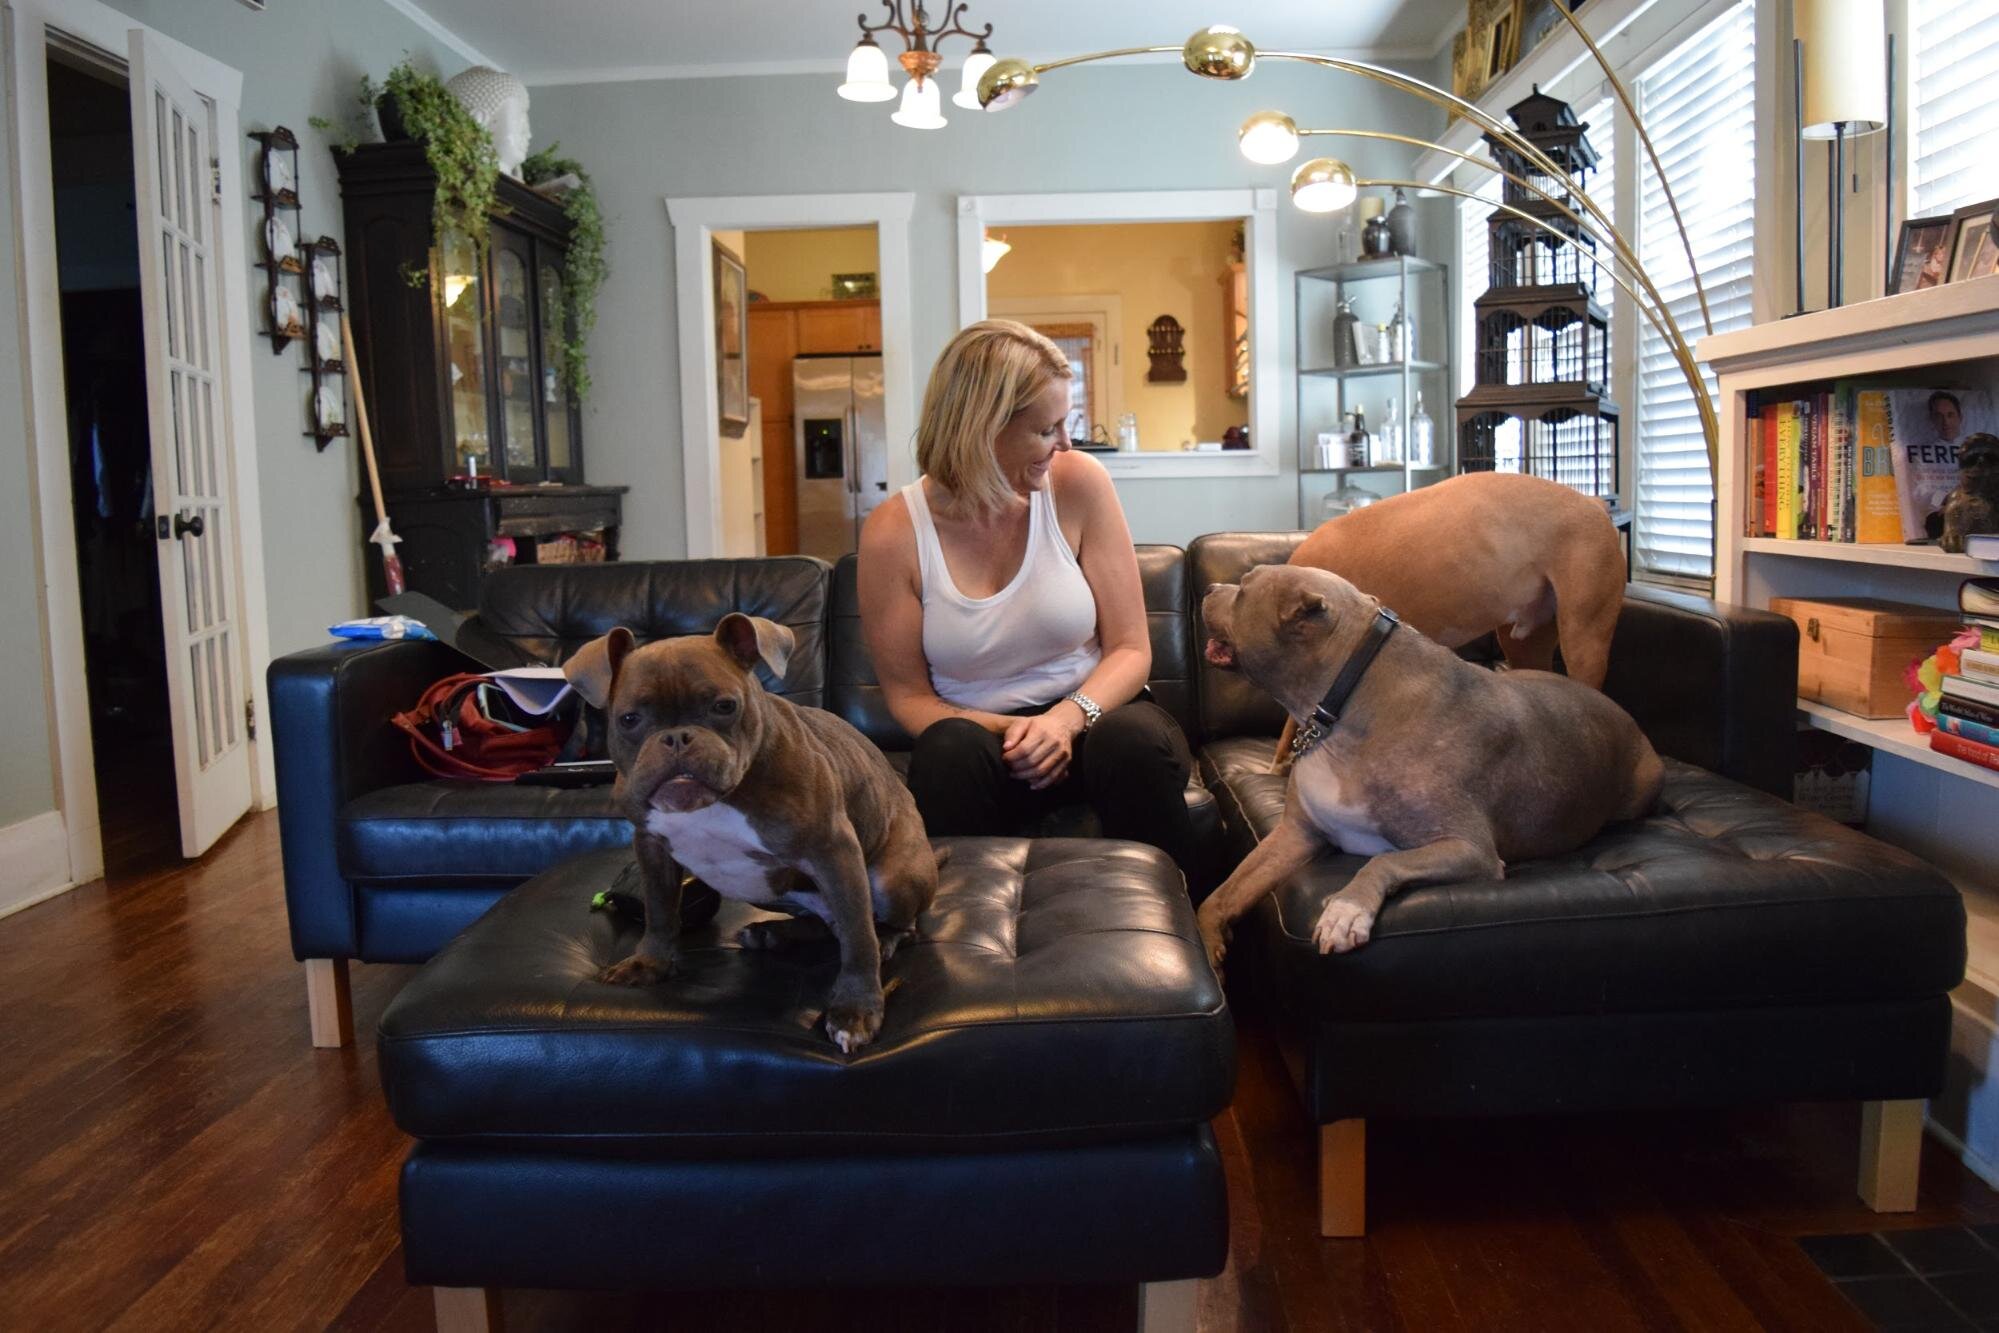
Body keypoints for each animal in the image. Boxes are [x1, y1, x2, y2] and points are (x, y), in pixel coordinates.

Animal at [565, 614, 939, 1052]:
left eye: (724, 706)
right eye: (629, 719)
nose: (677, 737)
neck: (714, 802)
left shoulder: (834, 851)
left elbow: (857, 938)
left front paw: (856, 1010)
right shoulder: (651, 847)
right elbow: (658, 911)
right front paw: (649, 962)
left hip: (889, 879)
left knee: (885, 924)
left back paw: (884, 940)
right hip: (766, 889)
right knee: (828, 922)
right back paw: (773, 934)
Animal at [1196, 565, 1662, 969]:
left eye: (1244, 588)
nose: (1208, 588)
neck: (1341, 701)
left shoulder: (1469, 849)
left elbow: (1383, 862)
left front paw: (1346, 909)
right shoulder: (1297, 834)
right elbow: (1224, 891)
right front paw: (1208, 944)